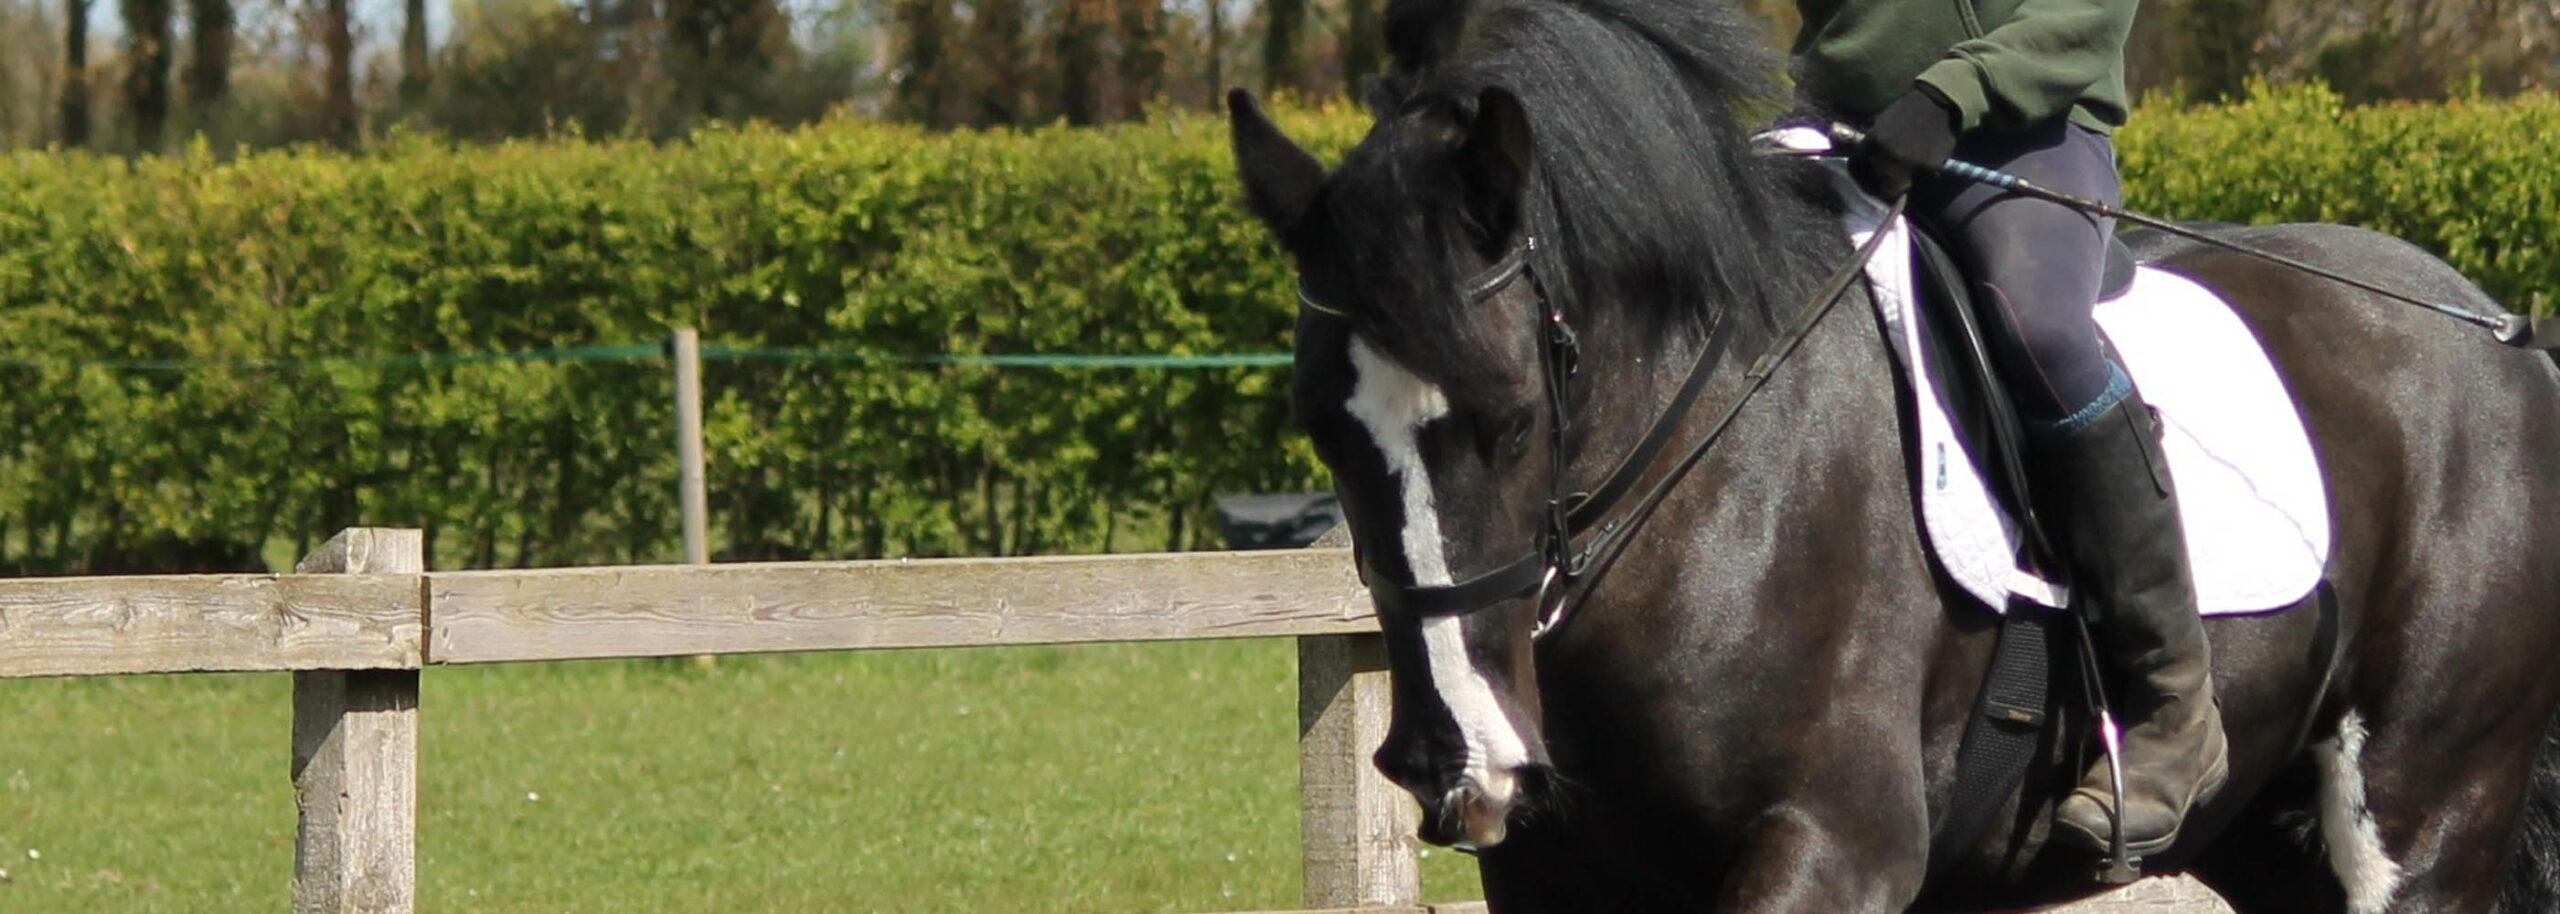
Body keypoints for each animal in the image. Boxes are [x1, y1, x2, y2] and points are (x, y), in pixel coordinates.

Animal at [1213, 0, 2560, 906]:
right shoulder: (1559, 881)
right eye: (1324, 429)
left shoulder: (1832, 845)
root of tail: (2500, 331)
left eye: (1505, 417)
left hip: (2423, 817)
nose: (1454, 762)